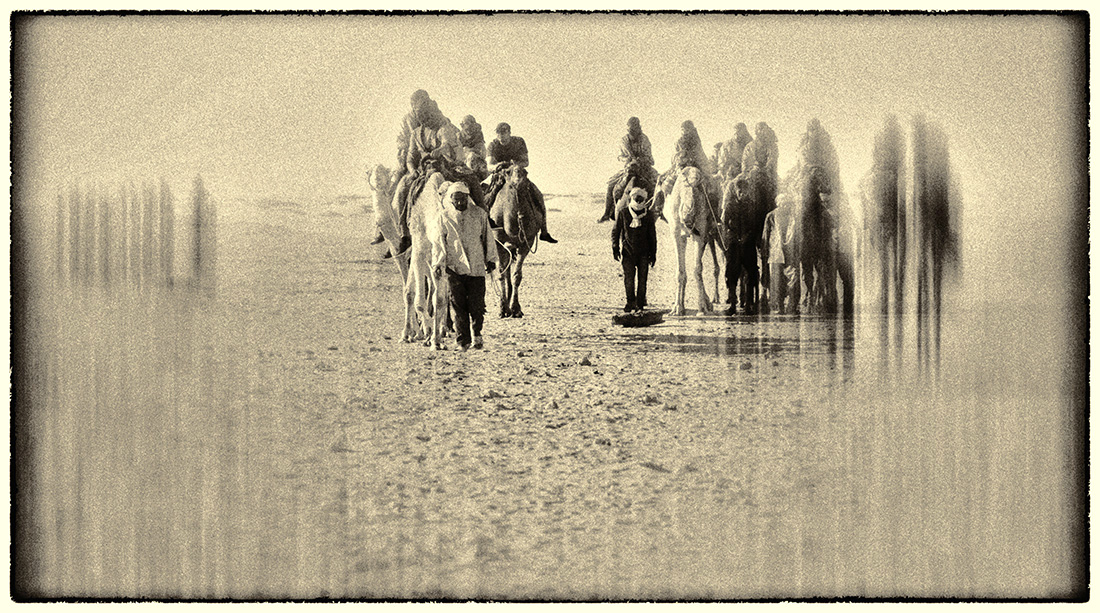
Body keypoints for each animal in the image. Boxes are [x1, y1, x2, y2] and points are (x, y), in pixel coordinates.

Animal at [490, 164, 541, 319]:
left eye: (526, 172)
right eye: (507, 172)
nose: (519, 181)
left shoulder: (527, 241)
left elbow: (516, 275)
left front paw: (515, 309)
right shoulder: (498, 241)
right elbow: (501, 272)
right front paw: (502, 309)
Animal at [666, 166, 723, 316]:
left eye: (699, 186)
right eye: (683, 183)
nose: (688, 214)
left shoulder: (700, 233)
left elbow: (697, 269)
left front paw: (702, 308)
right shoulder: (676, 234)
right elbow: (680, 271)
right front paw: (677, 308)